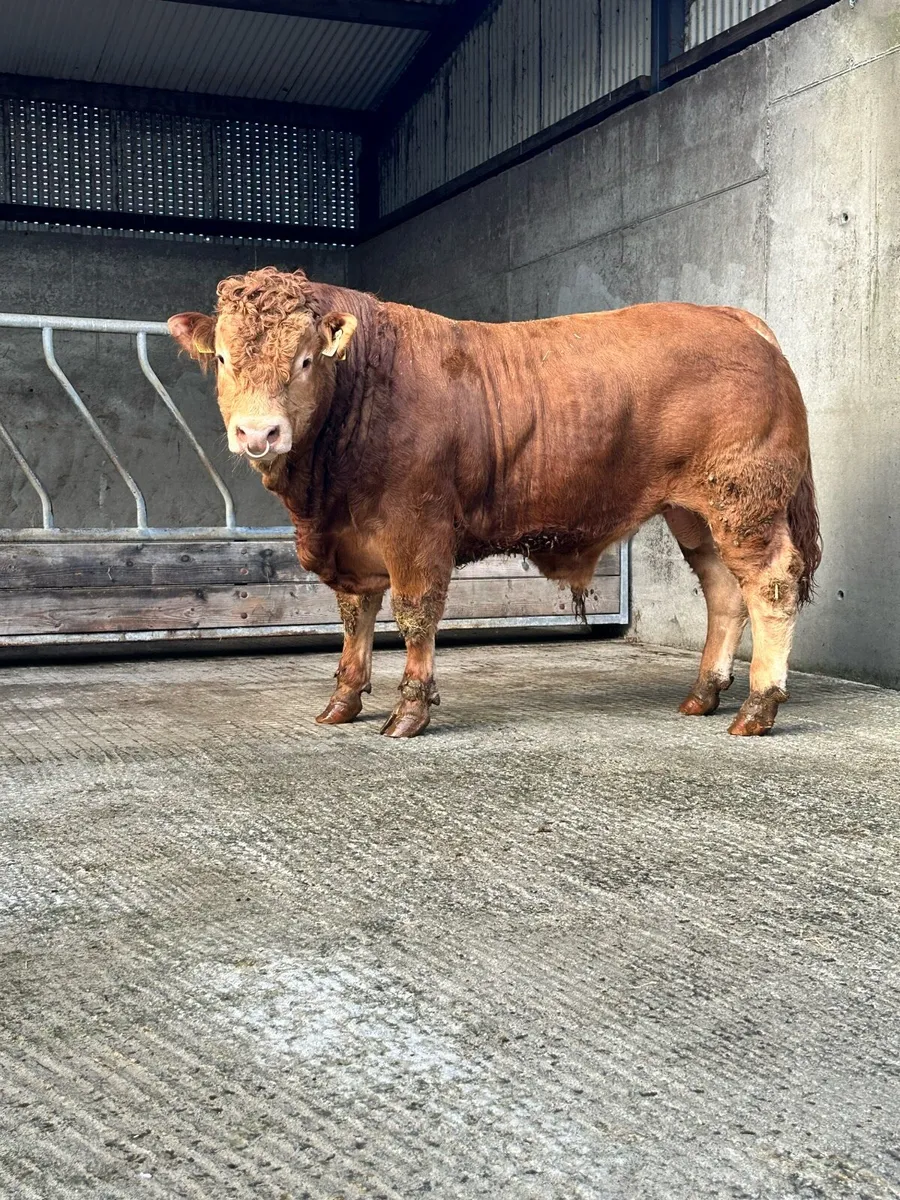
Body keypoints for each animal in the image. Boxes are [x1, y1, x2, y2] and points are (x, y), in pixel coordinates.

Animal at [169, 268, 821, 739]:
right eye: (223, 358)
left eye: (305, 360)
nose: (259, 433)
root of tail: (729, 316)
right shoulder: (349, 542)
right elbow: (355, 618)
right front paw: (343, 700)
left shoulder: (416, 525)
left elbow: (415, 613)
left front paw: (410, 712)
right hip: (695, 512)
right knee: (724, 592)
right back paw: (703, 695)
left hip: (745, 502)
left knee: (771, 585)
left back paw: (758, 707)